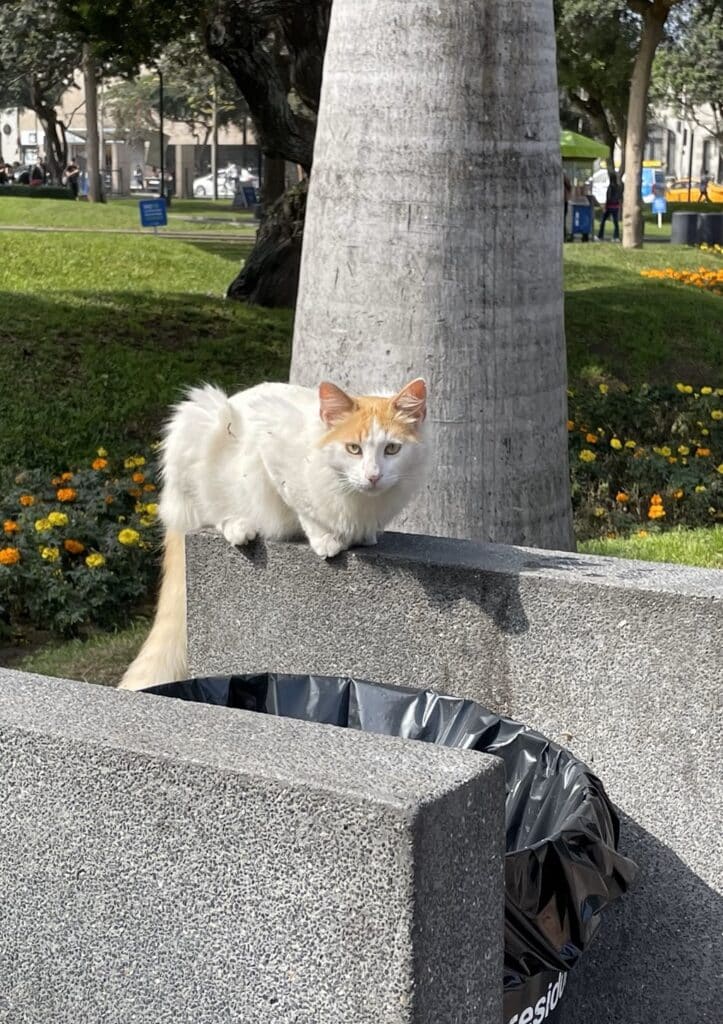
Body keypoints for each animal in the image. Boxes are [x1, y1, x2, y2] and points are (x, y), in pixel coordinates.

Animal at [116, 380, 421, 692]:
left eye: (392, 449)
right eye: (353, 449)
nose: (373, 476)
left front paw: (365, 536)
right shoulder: (270, 448)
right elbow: (303, 508)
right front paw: (325, 539)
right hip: (200, 426)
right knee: (214, 511)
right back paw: (239, 527)